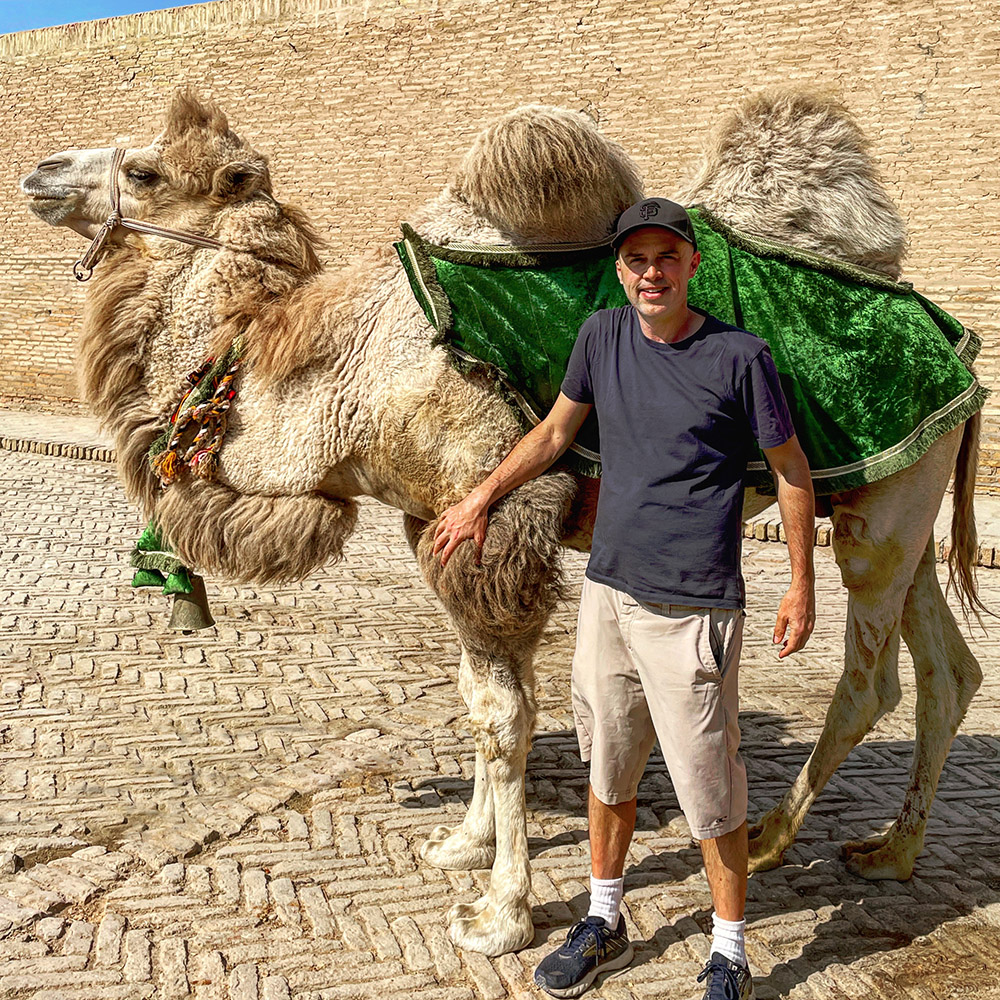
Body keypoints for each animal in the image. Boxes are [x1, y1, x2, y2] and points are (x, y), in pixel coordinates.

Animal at [21, 90, 984, 956]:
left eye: (144, 172)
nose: (38, 172)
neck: (345, 367)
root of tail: (952, 338)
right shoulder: (433, 521)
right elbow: (482, 694)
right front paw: (464, 843)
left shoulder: (495, 514)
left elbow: (503, 715)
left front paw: (502, 913)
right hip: (894, 500)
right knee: (949, 671)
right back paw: (890, 852)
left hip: (880, 512)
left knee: (872, 682)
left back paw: (768, 838)